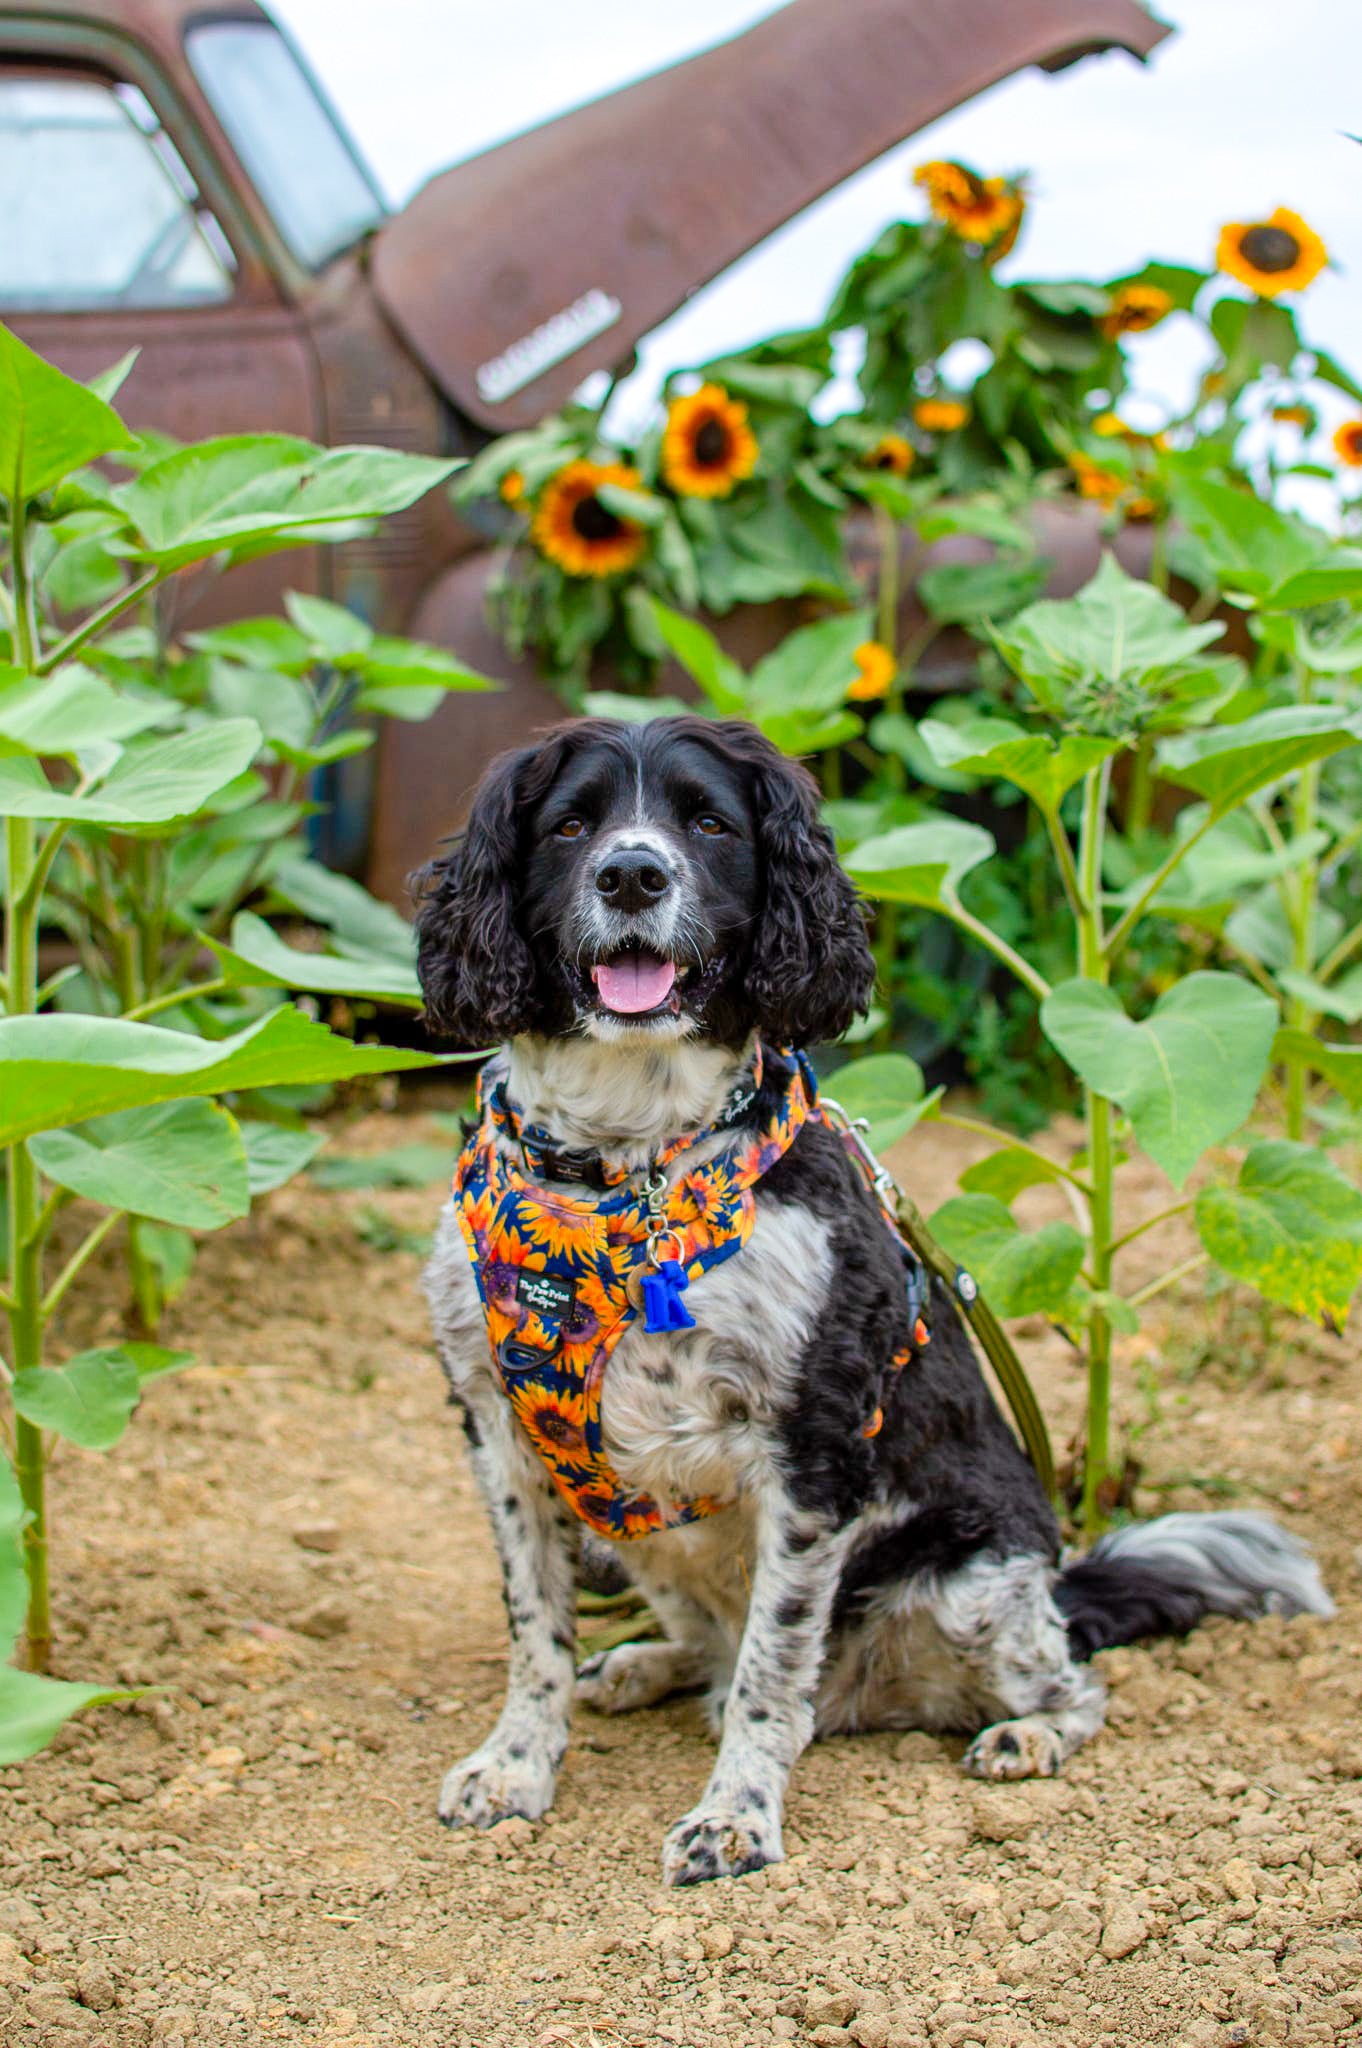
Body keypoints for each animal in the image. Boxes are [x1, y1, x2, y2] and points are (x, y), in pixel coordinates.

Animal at [411, 716, 1327, 1884]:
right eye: (571, 824)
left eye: (710, 822)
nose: (631, 873)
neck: (626, 1174)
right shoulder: (497, 1430)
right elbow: (537, 1633)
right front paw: (518, 1764)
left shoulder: (814, 1445)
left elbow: (772, 1671)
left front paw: (736, 1815)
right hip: (639, 1539)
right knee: (708, 1646)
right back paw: (641, 1664)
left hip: (974, 1579)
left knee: (1062, 1680)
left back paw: (1025, 1733)